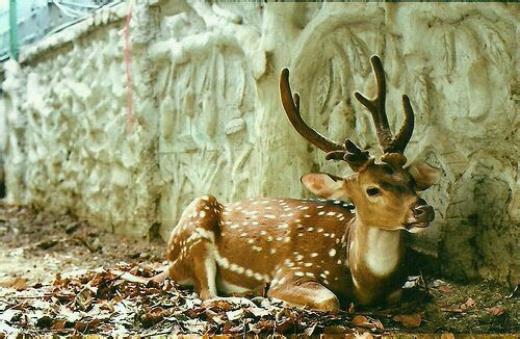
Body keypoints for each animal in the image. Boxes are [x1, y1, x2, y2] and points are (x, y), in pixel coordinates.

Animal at [162, 55, 438, 314]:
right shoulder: (292, 270)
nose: (423, 210)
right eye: (372, 189)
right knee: (207, 295)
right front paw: (272, 297)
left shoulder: (395, 288)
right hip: (195, 232)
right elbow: (329, 299)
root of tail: (170, 260)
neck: (363, 280)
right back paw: (251, 297)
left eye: (412, 181)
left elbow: (402, 295)